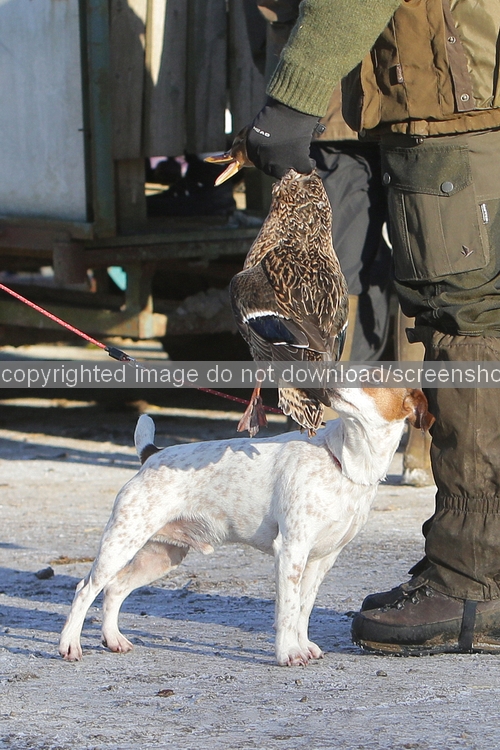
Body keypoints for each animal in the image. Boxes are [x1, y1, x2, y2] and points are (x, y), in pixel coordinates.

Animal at [59, 387, 434, 666]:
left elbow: (303, 608)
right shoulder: (291, 551)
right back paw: (69, 645)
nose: (326, 382)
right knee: (85, 589)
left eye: (371, 378)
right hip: (121, 542)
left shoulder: (321, 560)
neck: (342, 461)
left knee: (115, 589)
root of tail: (151, 454)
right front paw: (288, 653)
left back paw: (113, 640)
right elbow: (287, 610)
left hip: (160, 556)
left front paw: (303, 645)